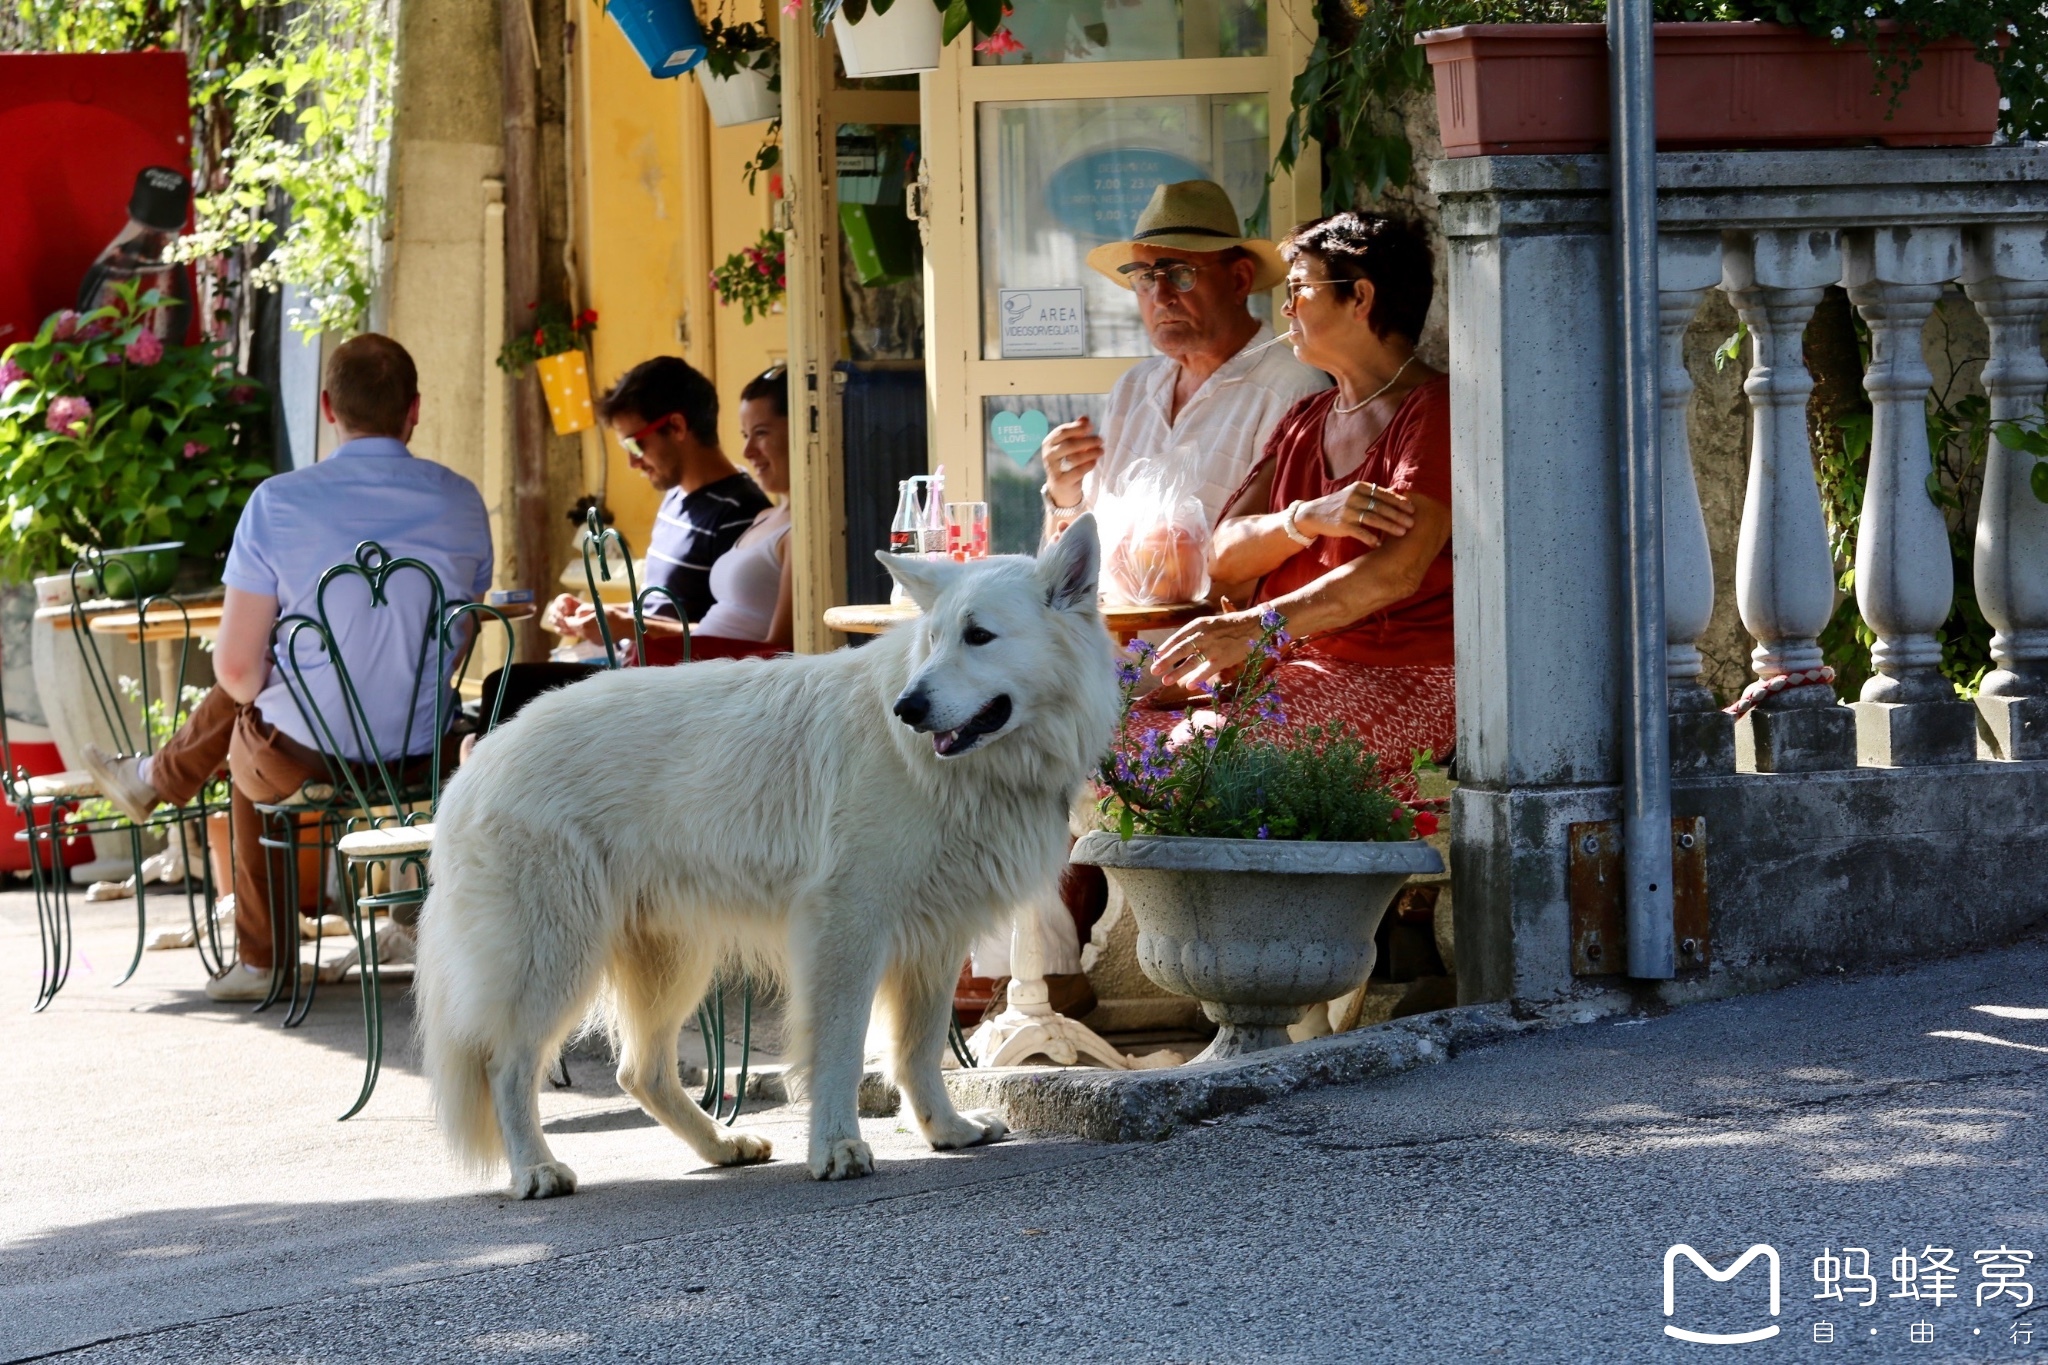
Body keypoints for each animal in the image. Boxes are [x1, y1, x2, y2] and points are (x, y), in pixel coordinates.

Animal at [413, 511, 1114, 1195]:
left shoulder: (934, 942)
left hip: (672, 960)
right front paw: (836, 1149)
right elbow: (841, 1049)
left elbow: (915, 1051)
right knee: (507, 1063)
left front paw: (947, 1132)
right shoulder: (847, 929)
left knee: (641, 1072)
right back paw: (535, 1170)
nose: (908, 708)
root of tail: (479, 759)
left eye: (979, 636)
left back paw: (722, 1146)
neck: (964, 770)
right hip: (556, 956)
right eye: (937, 638)